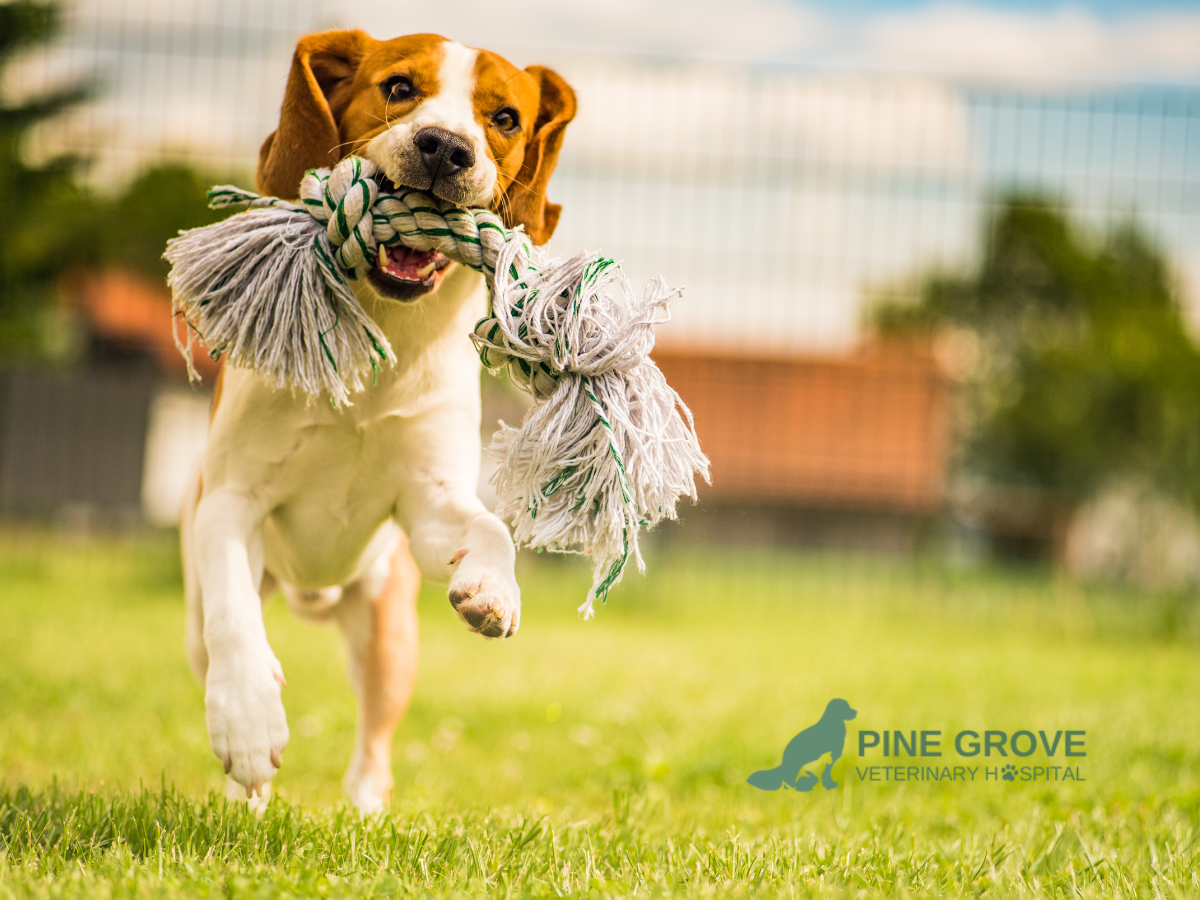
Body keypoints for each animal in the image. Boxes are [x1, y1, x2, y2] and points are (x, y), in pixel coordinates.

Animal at [177, 31, 580, 816]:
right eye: (398, 88)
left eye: (505, 118)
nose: (445, 147)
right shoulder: (231, 499)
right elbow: (236, 619)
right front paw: (248, 723)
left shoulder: (426, 504)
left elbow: (489, 526)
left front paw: (494, 589)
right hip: (199, 622)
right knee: (223, 636)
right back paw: (246, 796)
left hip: (389, 635)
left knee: (374, 745)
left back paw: (364, 814)